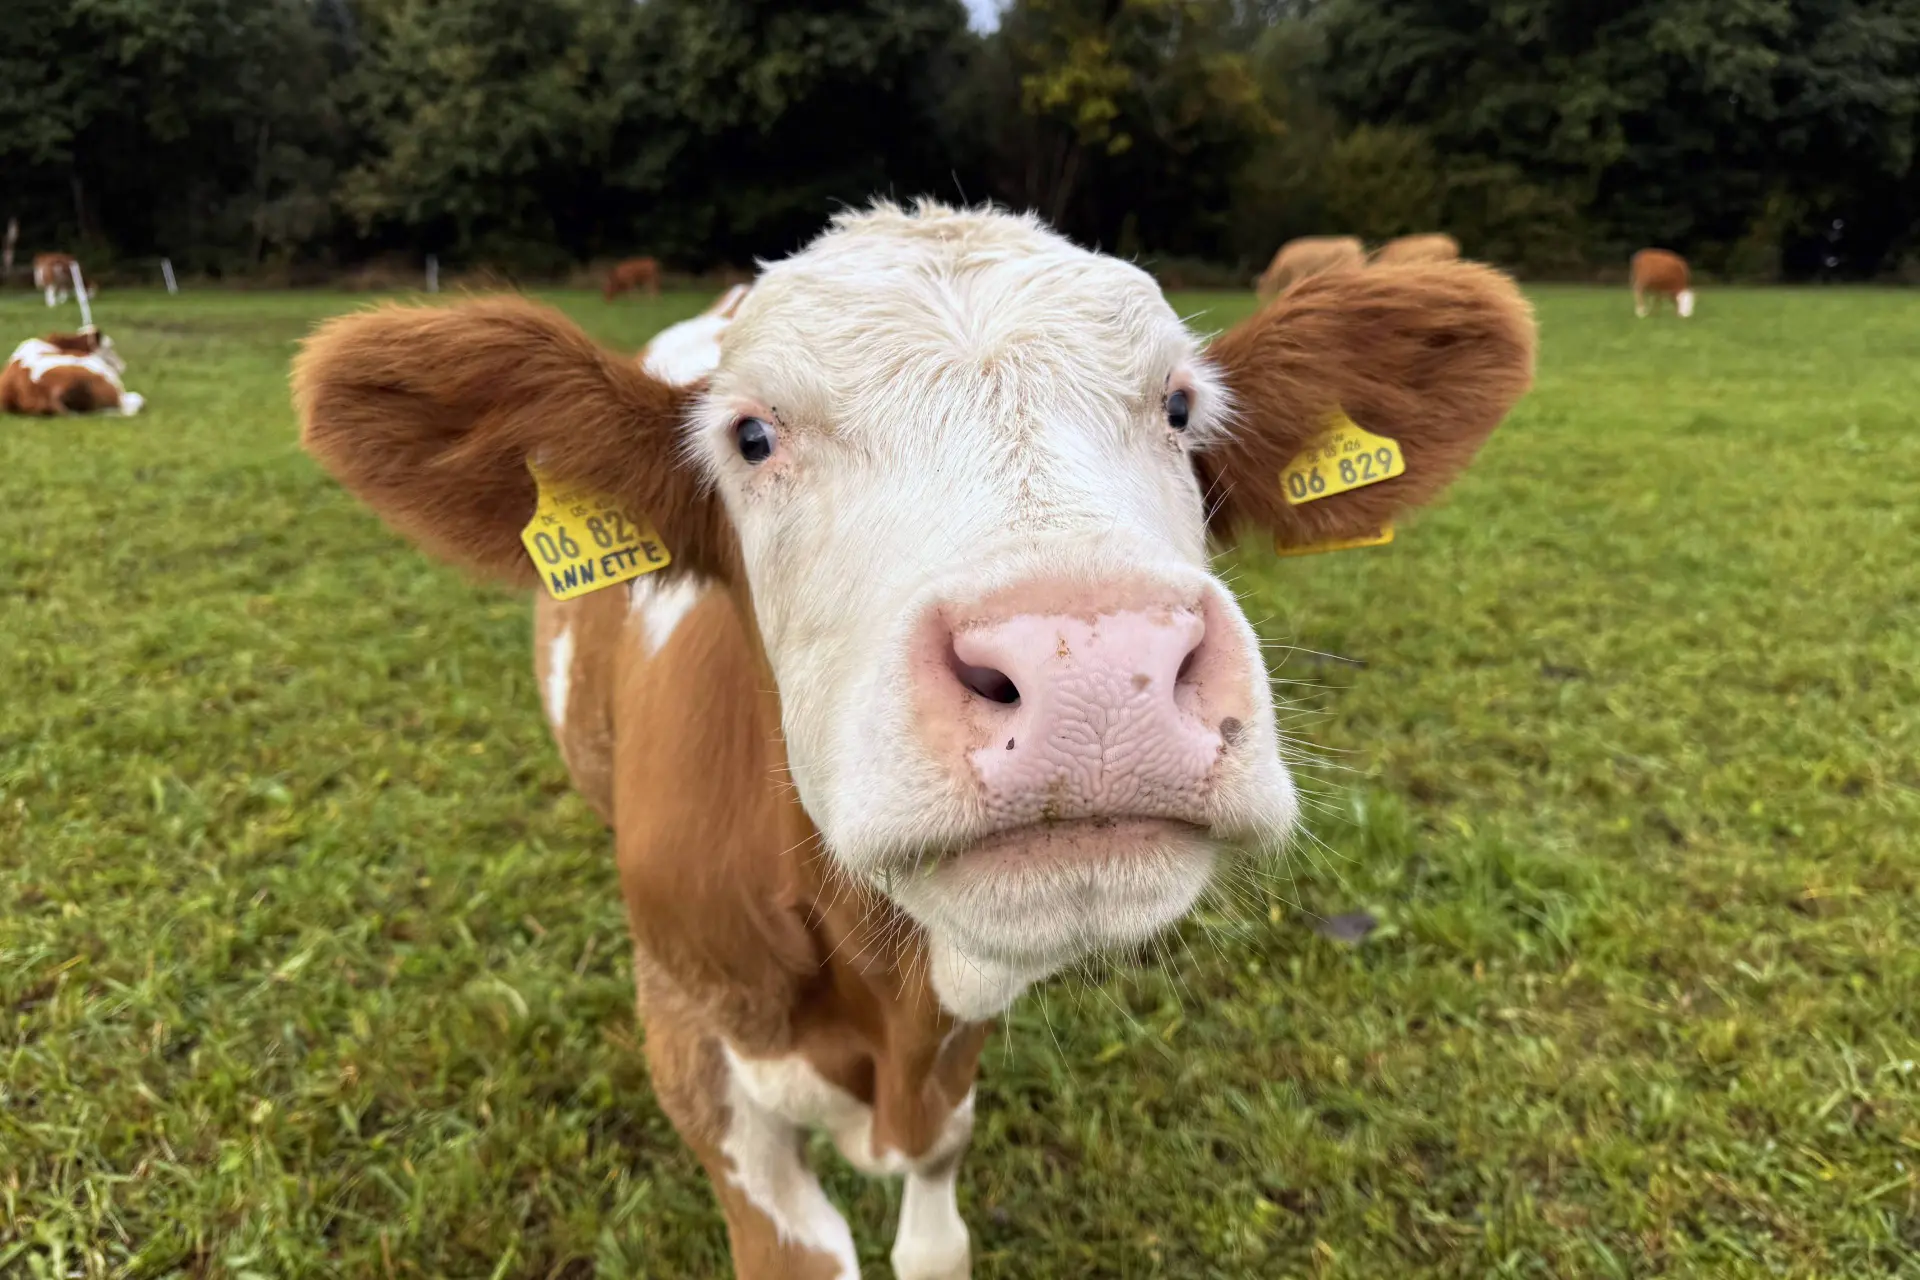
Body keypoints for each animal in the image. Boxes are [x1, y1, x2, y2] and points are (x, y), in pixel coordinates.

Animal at [293, 201, 1535, 1280]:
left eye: (1181, 408)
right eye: (752, 435)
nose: (1094, 667)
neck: (873, 988)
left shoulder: (960, 1025)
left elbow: (939, 1209)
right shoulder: (692, 1042)